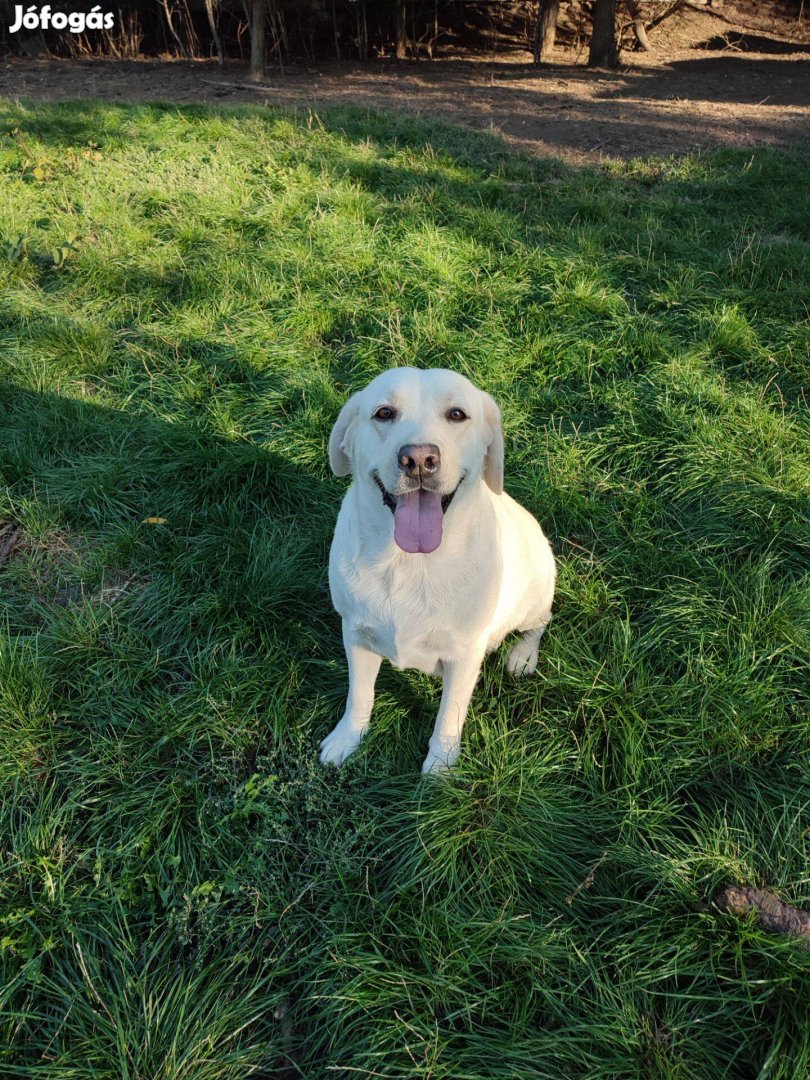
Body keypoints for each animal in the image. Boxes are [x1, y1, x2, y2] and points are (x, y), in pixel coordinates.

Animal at [319, 367, 557, 773]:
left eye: (457, 415)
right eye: (384, 413)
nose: (418, 459)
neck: (408, 562)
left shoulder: (464, 655)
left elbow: (449, 717)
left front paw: (440, 770)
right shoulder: (357, 635)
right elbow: (359, 697)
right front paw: (346, 739)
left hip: (537, 590)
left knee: (540, 623)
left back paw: (523, 655)